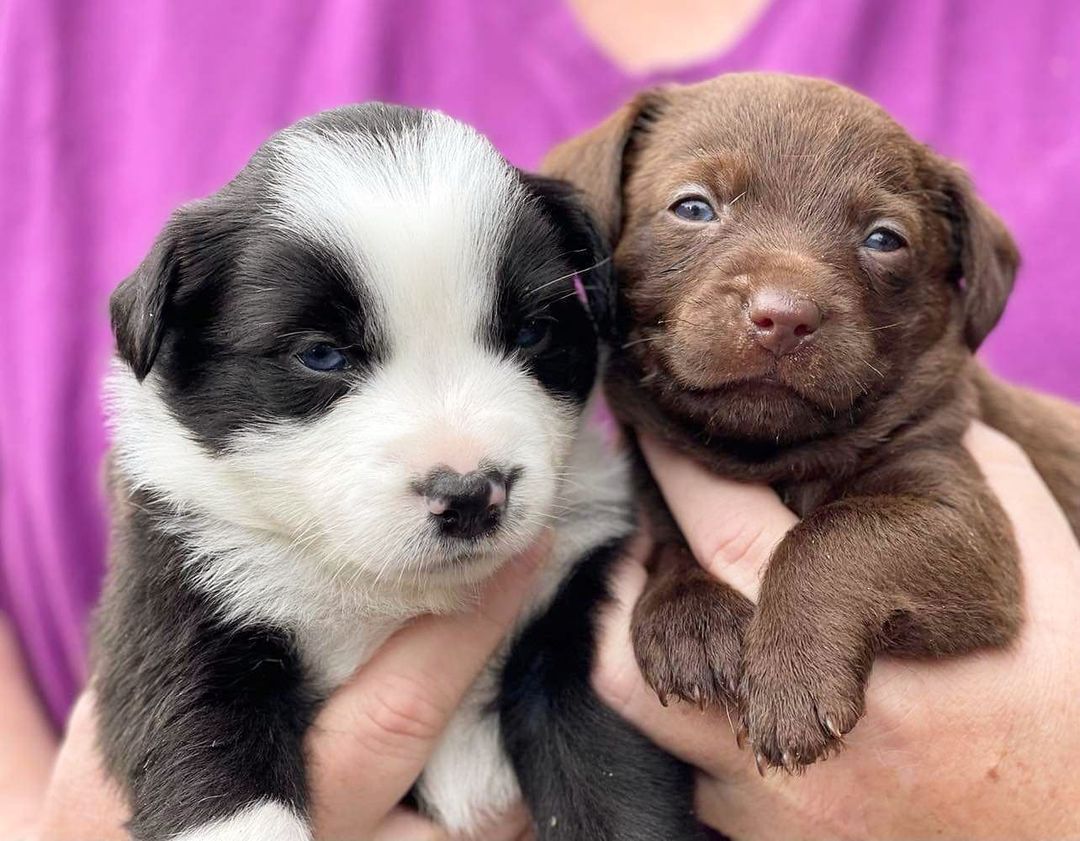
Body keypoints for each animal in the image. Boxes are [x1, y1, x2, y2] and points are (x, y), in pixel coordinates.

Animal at [97, 105, 704, 841]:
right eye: (321, 354)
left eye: (531, 332)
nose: (470, 495)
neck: (390, 598)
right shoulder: (187, 606)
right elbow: (215, 770)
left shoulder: (569, 620)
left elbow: (614, 784)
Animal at [544, 75, 1080, 772]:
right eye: (693, 208)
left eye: (884, 239)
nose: (783, 316)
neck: (771, 455)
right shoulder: (655, 484)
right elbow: (669, 541)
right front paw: (692, 618)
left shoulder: (959, 518)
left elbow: (834, 534)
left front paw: (792, 679)